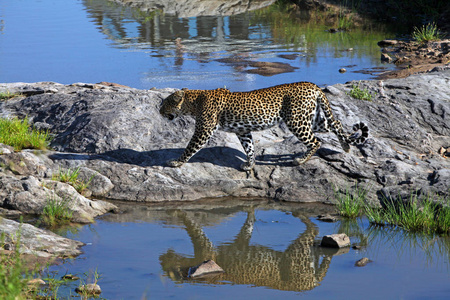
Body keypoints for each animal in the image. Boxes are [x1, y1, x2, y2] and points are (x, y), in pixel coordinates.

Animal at [160, 82, 368, 171]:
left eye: (166, 103)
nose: (160, 111)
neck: (193, 102)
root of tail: (314, 85)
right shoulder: (243, 131)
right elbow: (249, 148)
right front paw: (249, 164)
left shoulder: (204, 131)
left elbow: (190, 148)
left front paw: (176, 162)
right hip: (312, 119)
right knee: (336, 123)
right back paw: (345, 146)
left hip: (296, 120)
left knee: (315, 141)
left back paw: (300, 160)